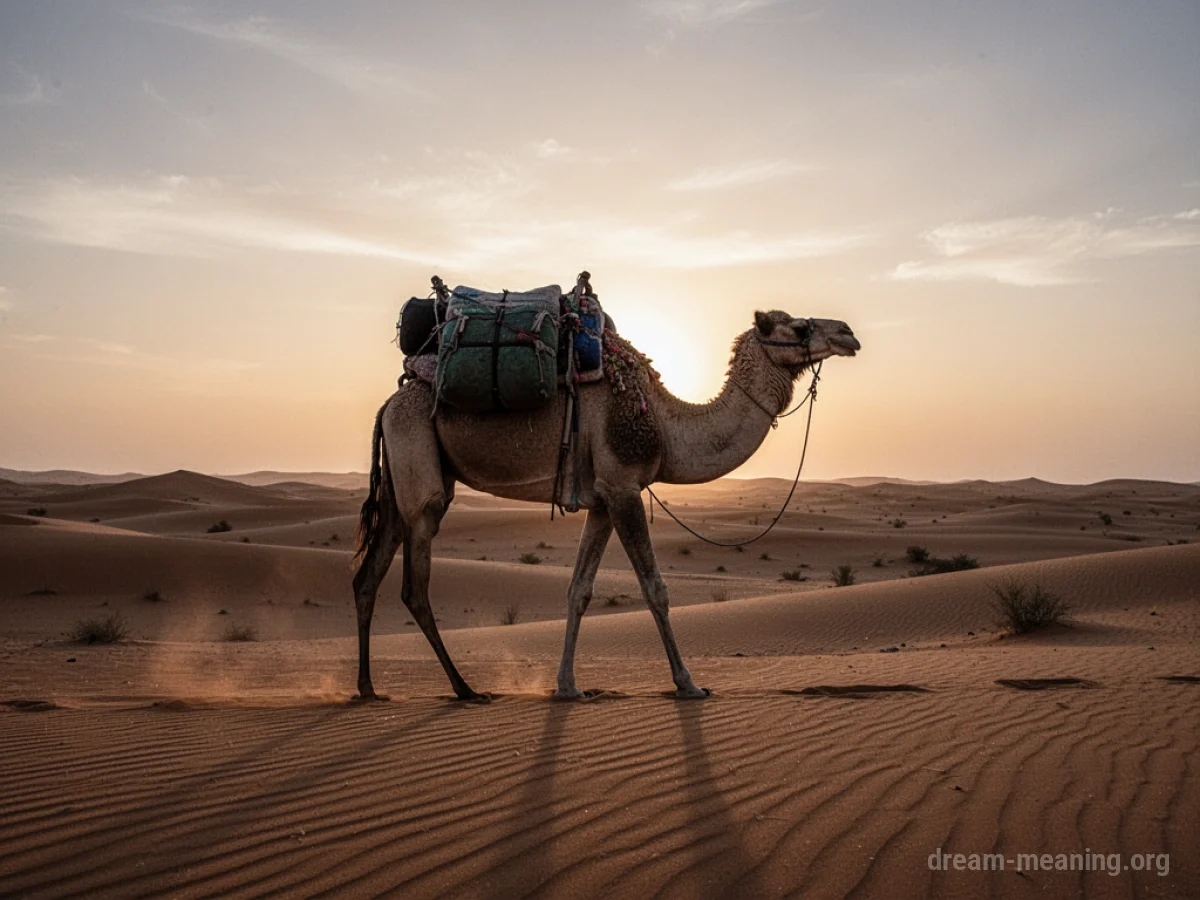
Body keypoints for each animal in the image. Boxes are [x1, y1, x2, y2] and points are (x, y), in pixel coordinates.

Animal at [352, 309, 860, 701]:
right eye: (799, 327)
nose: (848, 333)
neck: (665, 424)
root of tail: (388, 403)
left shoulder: (601, 500)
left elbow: (579, 591)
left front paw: (567, 687)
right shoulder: (623, 488)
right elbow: (656, 589)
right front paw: (688, 683)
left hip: (402, 478)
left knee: (367, 575)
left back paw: (368, 689)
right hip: (420, 465)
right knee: (414, 586)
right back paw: (464, 689)